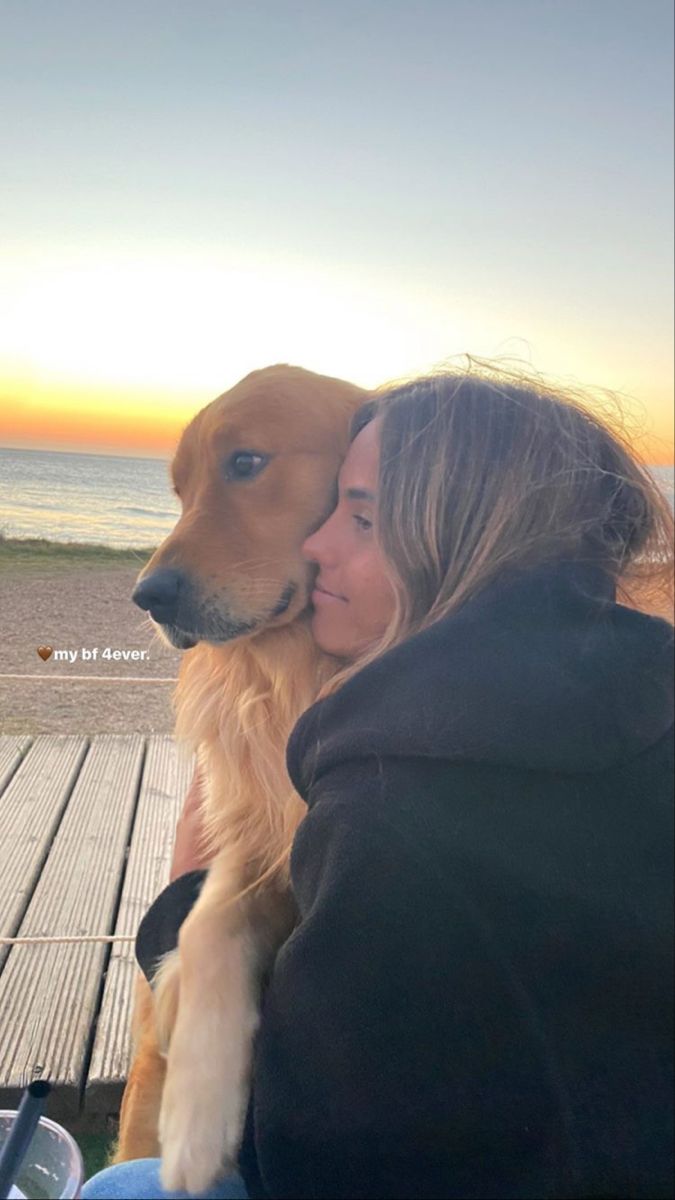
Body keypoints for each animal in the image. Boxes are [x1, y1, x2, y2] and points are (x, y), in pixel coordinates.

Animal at [118, 362, 365, 1190]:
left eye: (247, 462)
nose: (148, 597)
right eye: (179, 489)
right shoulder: (252, 841)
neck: (300, 670)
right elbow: (203, 927)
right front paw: (196, 1114)